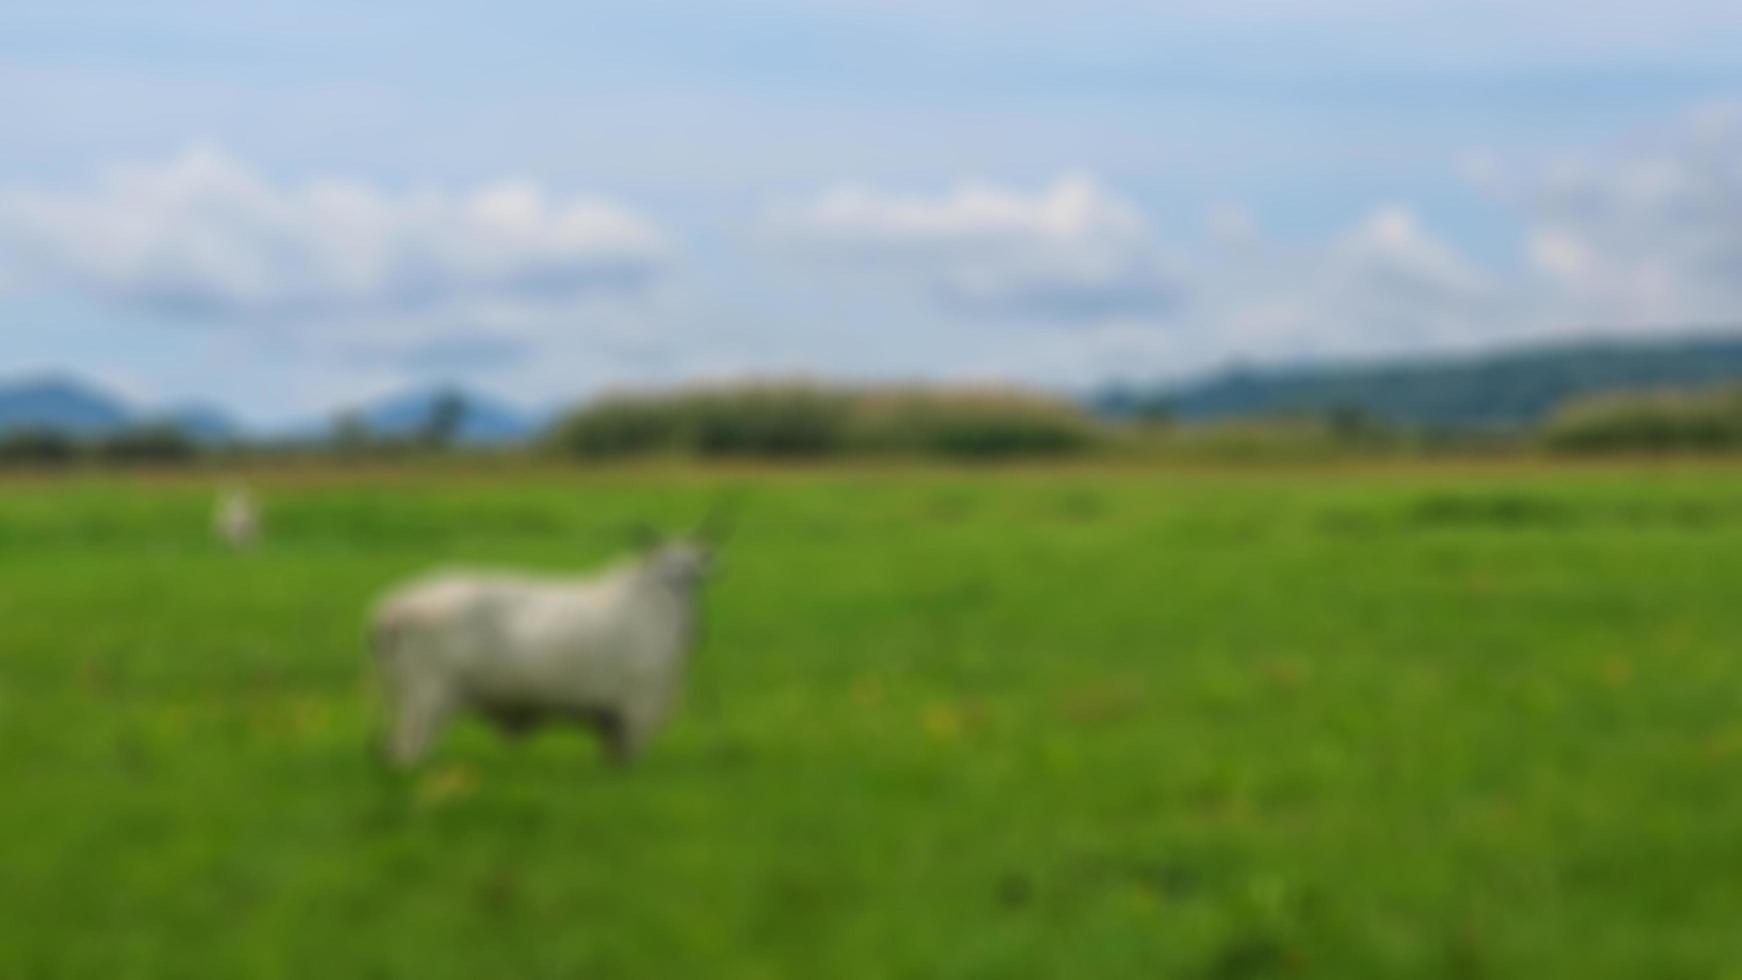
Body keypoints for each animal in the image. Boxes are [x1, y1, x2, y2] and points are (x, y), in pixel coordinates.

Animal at [367, 539, 714, 769]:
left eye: (694, 577)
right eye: (669, 573)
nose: (688, 624)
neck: (655, 607)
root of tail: (393, 608)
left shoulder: (615, 719)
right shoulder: (636, 708)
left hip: (403, 698)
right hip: (426, 702)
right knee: (407, 752)